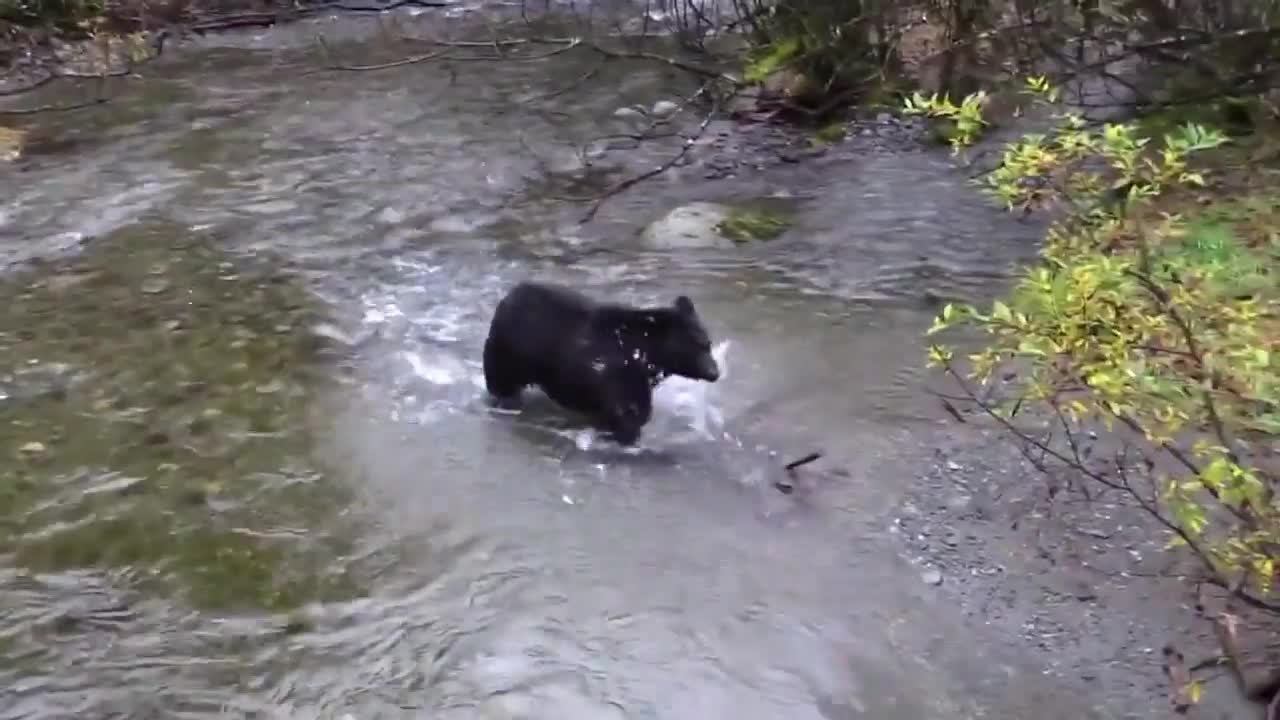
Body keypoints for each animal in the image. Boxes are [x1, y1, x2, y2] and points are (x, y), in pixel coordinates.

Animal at [481, 280, 721, 443]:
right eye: (698, 344)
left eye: (708, 343)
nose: (715, 372)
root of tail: (506, 298)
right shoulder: (615, 372)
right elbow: (628, 411)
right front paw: (625, 435)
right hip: (507, 353)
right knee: (501, 383)